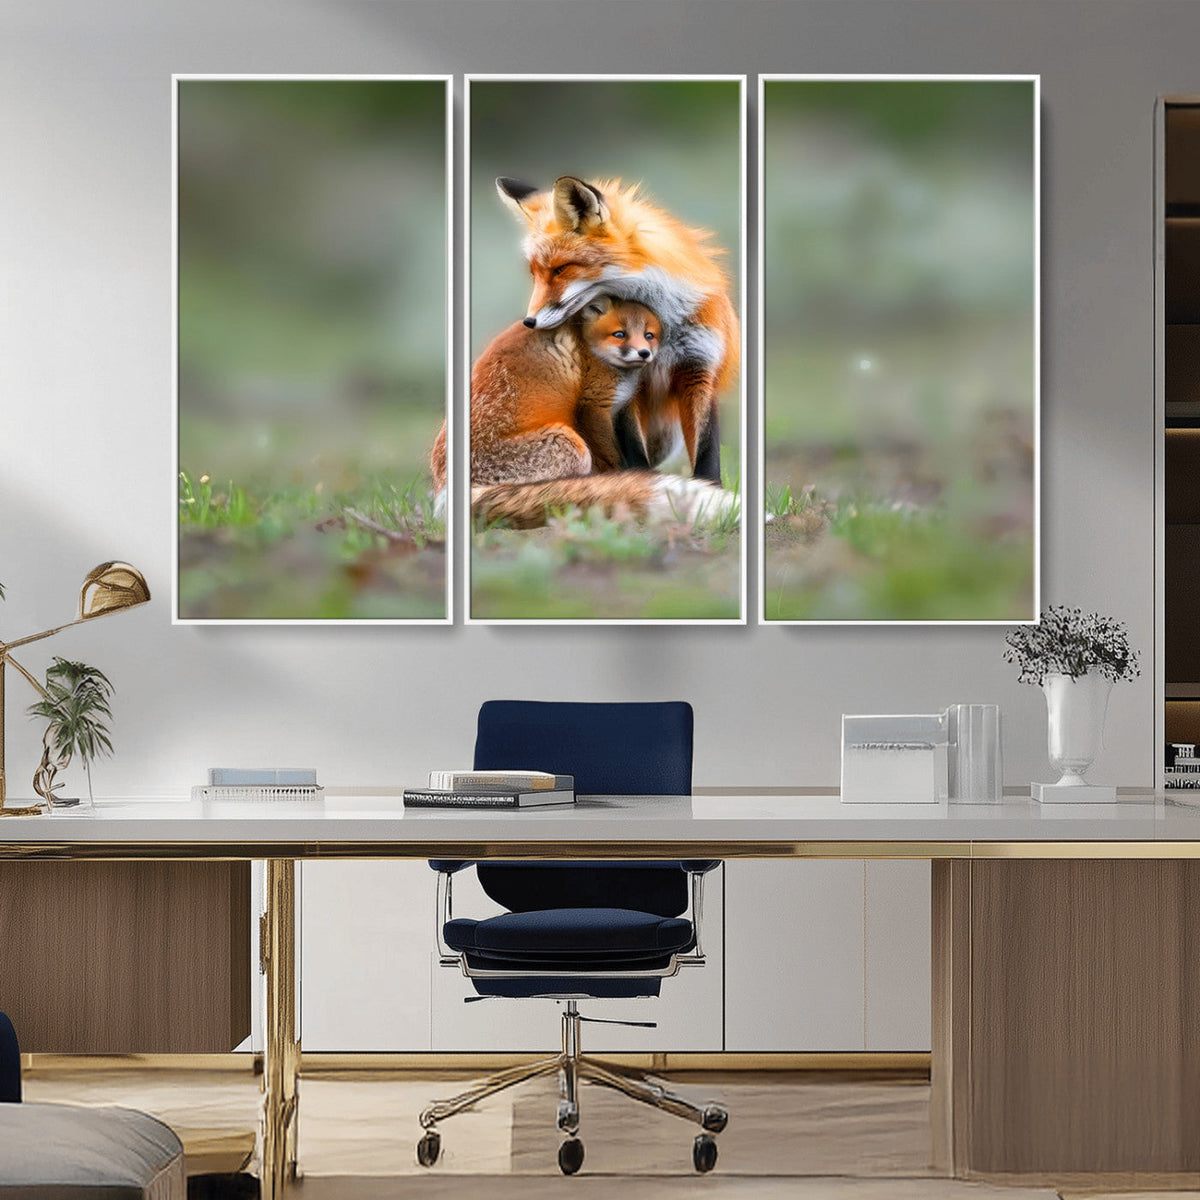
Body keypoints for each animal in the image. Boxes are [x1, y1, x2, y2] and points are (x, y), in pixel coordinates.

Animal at [496, 175, 739, 485]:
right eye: (535, 274)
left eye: (561, 269)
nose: (529, 322)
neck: (663, 327)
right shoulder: (626, 382)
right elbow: (633, 451)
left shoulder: (699, 368)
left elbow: (707, 453)